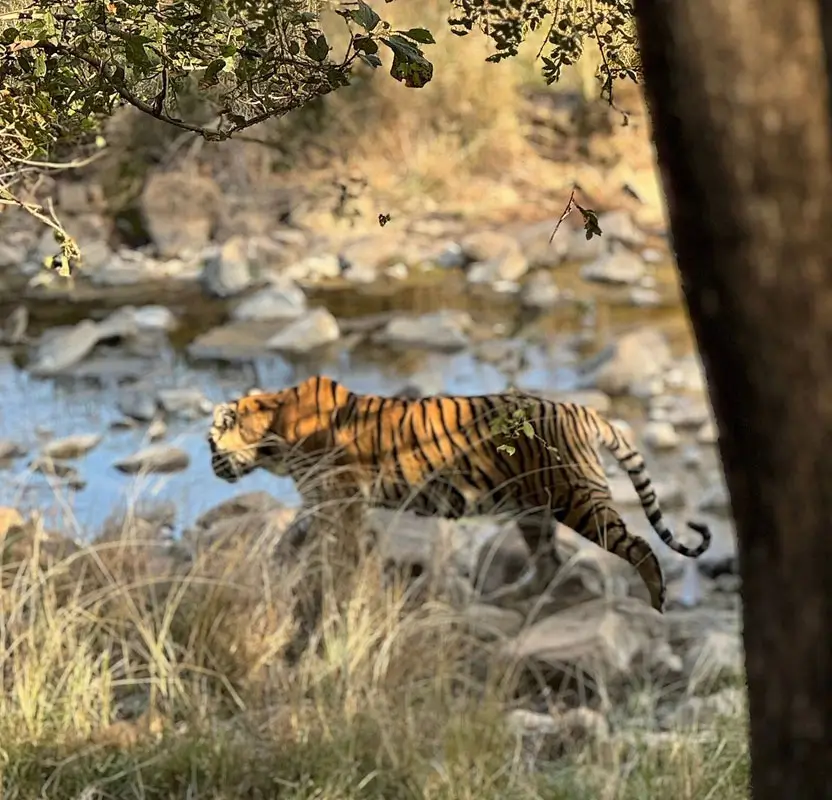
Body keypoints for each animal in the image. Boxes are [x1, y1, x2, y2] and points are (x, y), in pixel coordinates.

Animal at [207, 374, 712, 612]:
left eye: (211, 443)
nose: (212, 467)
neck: (272, 431)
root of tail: (581, 410)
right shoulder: (324, 500)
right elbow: (304, 536)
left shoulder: (340, 498)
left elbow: (333, 547)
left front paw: (330, 578)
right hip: (536, 510)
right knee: (548, 559)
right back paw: (513, 598)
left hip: (579, 501)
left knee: (639, 545)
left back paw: (656, 599)